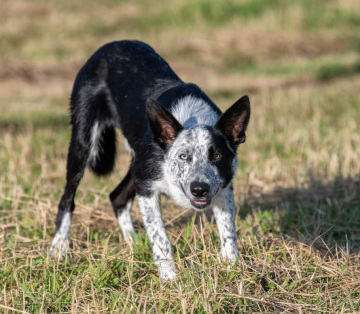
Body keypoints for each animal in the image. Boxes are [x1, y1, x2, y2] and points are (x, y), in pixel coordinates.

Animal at [50, 40, 250, 280]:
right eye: (183, 156)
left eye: (217, 156)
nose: (199, 190)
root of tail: (111, 45)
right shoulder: (146, 188)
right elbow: (160, 236)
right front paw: (169, 278)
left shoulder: (223, 187)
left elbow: (228, 232)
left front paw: (232, 270)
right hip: (84, 143)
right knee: (67, 199)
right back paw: (59, 248)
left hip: (137, 163)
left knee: (117, 196)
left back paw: (133, 245)